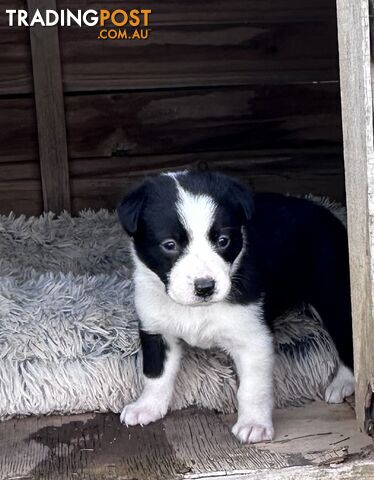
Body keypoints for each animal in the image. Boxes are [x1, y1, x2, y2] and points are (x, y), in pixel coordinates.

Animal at [117, 171, 354, 444]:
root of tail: (325, 211)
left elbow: (253, 389)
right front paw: (147, 407)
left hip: (332, 294)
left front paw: (254, 425)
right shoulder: (156, 328)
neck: (197, 309)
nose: (205, 287)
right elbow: (156, 374)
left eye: (223, 241)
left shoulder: (253, 338)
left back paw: (343, 383)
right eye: (169, 245)